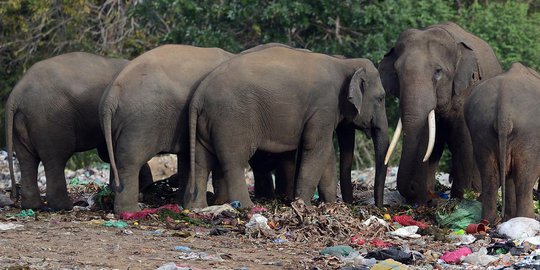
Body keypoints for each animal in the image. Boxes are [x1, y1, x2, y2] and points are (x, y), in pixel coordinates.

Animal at [5, 51, 153, 210]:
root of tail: (16, 93)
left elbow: (108, 153)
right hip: (49, 120)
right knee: (56, 159)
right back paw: (65, 206)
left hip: (22, 122)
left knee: (27, 160)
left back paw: (33, 206)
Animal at [185, 47, 388, 209]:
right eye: (381, 98)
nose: (379, 208)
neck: (344, 63)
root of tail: (199, 94)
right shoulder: (324, 106)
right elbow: (316, 148)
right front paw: (303, 206)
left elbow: (326, 152)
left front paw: (328, 205)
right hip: (231, 119)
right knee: (234, 162)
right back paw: (247, 207)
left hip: (207, 122)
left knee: (202, 162)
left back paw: (198, 208)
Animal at [380, 22, 502, 204]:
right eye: (396, 72)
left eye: (438, 71)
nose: (413, 189)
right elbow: (426, 141)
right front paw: (424, 199)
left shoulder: (467, 89)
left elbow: (463, 138)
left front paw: (460, 198)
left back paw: (474, 194)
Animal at [464, 63, 540, 224]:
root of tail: (504, 108)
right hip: (529, 133)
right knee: (525, 180)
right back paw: (527, 219)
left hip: (480, 127)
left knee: (490, 177)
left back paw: (490, 222)